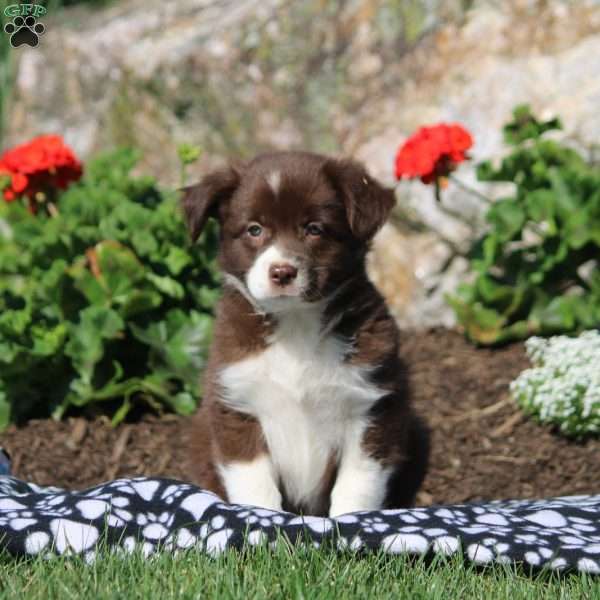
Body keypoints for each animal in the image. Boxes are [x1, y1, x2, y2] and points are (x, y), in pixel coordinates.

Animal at [182, 150, 426, 516]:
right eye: (254, 229)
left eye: (314, 229)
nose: (282, 272)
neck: (296, 323)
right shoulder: (237, 404)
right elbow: (255, 485)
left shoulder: (372, 407)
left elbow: (357, 484)